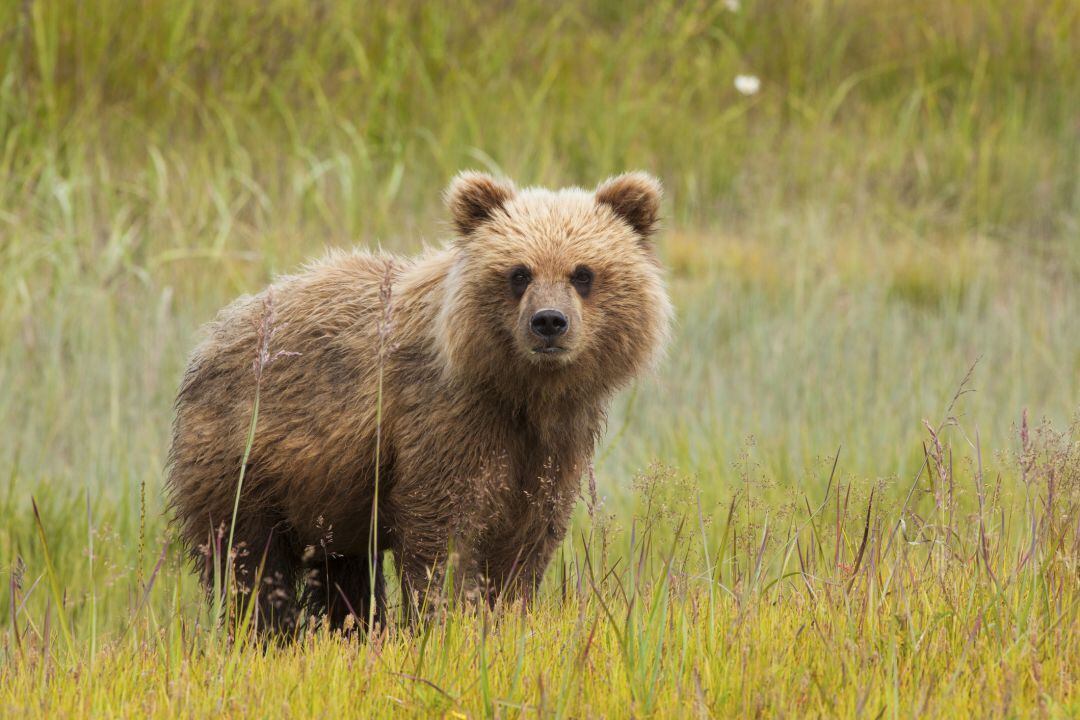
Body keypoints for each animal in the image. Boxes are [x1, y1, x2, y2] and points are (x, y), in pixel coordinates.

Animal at [165, 171, 669, 634]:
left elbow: (528, 535)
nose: (549, 322)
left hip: (329, 494)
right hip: (245, 460)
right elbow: (443, 531)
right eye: (518, 273)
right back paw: (264, 632)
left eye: (583, 273)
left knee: (343, 570)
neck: (520, 391)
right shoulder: (445, 420)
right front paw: (447, 621)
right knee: (247, 560)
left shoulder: (553, 442)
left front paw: (507, 613)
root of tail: (212, 337)